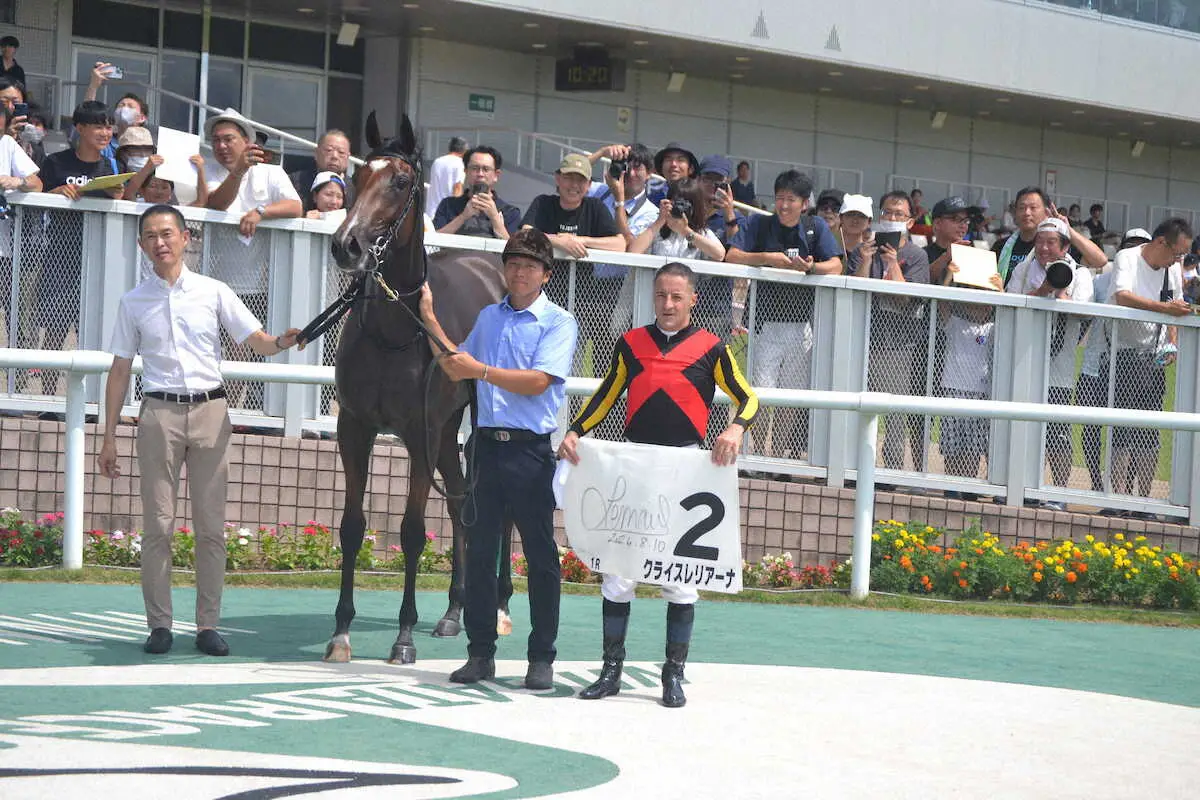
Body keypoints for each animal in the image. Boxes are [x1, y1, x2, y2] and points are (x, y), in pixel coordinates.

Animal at [321, 112, 508, 662]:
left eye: (401, 182)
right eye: (357, 176)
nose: (347, 244)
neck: (396, 329)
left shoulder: (417, 434)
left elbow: (411, 531)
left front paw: (403, 636)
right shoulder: (355, 428)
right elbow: (352, 526)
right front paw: (341, 631)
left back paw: (493, 608)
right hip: (446, 430)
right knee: (461, 500)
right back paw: (453, 611)